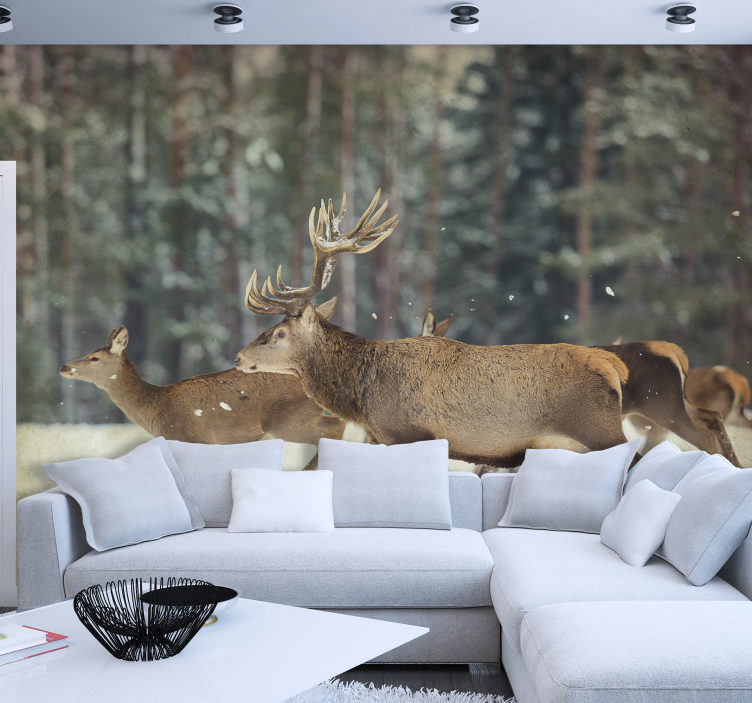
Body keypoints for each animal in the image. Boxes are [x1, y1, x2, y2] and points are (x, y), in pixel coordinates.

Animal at [60, 325, 346, 453]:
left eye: (95, 358)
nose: (64, 367)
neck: (156, 411)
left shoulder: (193, 437)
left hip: (288, 421)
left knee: (333, 429)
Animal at [233, 190, 632, 468]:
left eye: (281, 333)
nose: (238, 357)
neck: (363, 397)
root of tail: (613, 367)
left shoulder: (408, 434)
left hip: (600, 430)